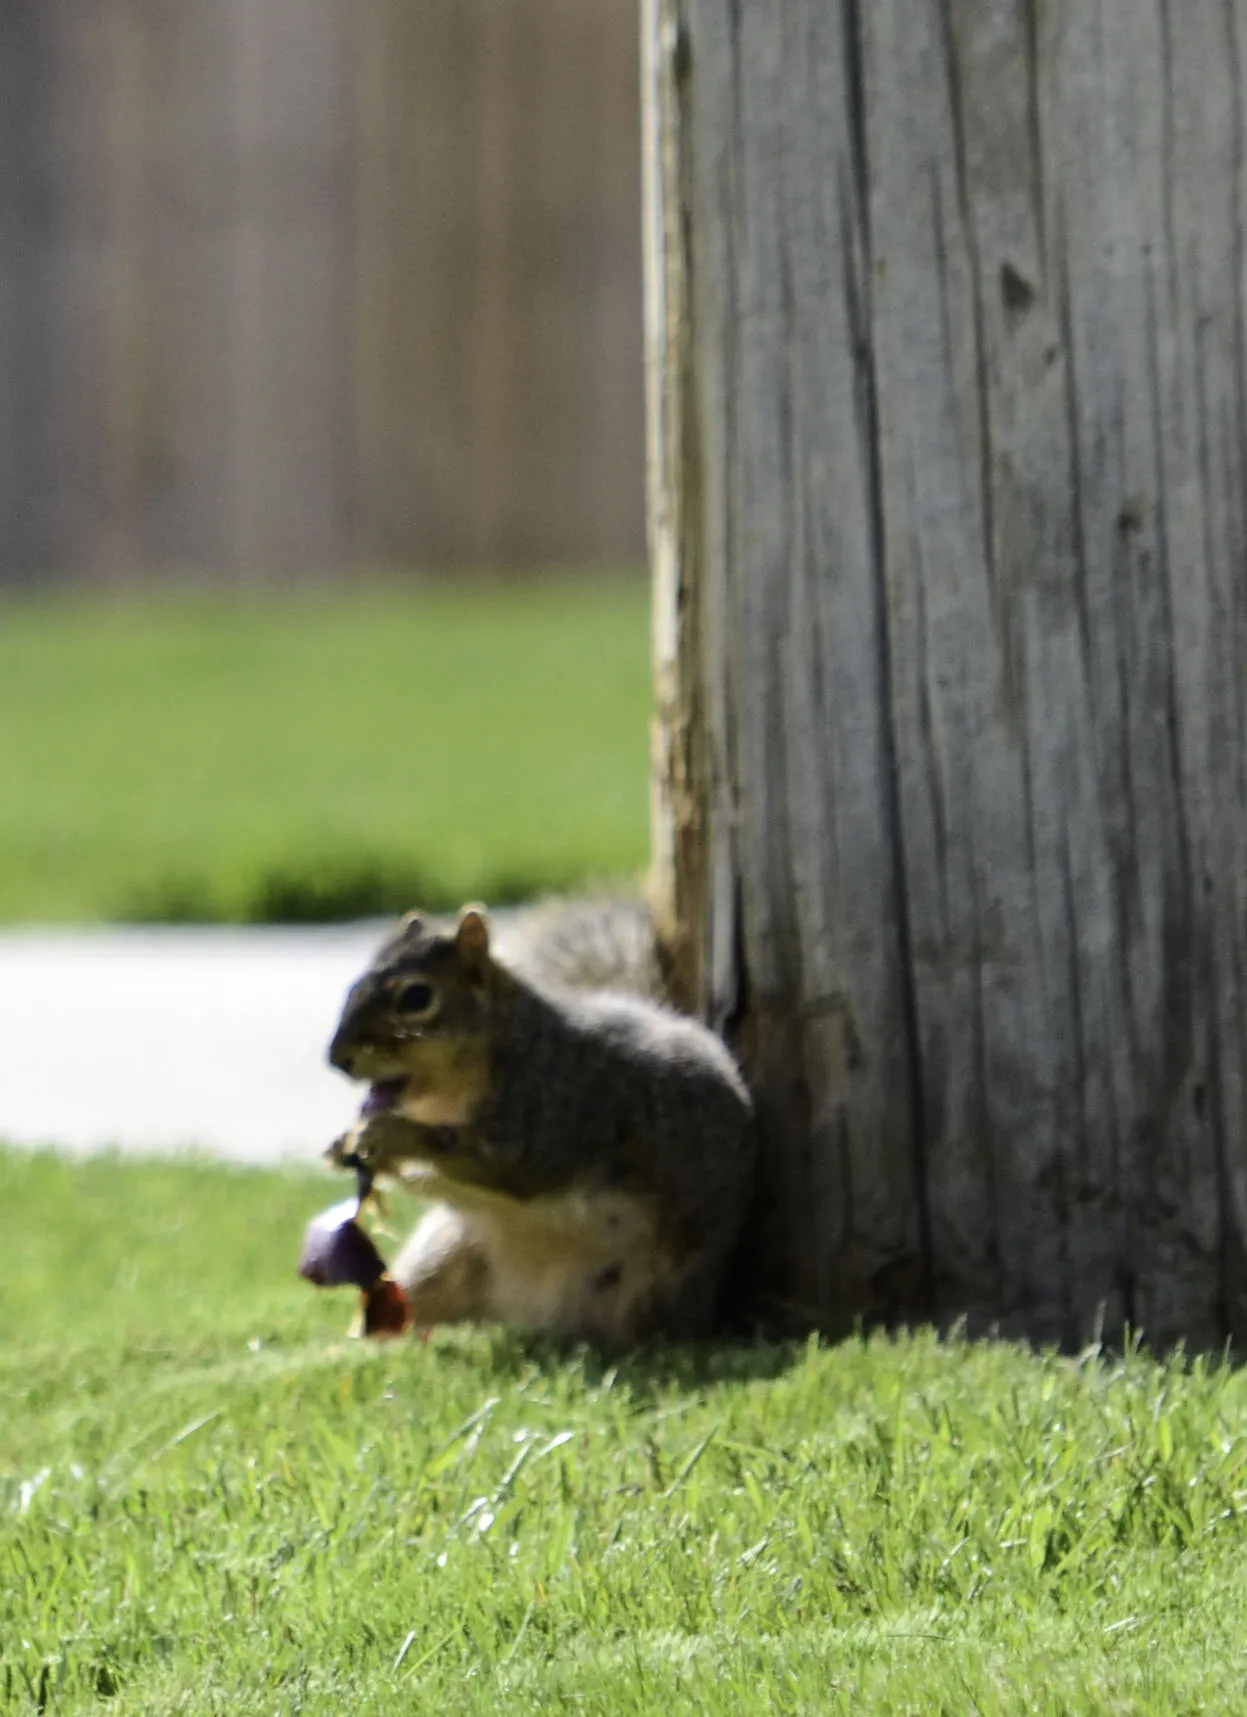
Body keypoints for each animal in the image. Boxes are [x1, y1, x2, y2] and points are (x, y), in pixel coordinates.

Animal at [324, 901, 755, 1346]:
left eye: (416, 997)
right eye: (353, 988)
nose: (337, 1059)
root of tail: (536, 1313)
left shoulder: (554, 1111)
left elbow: (503, 1165)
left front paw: (393, 1133)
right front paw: (345, 1145)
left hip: (647, 1296)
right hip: (438, 1262)